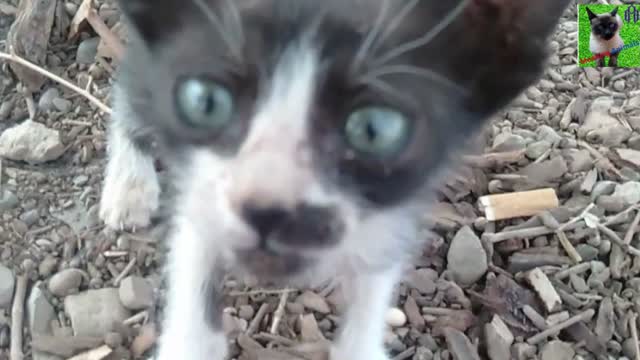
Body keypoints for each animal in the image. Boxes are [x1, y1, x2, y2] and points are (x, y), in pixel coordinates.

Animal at [99, 1, 568, 358]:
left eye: (374, 129)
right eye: (205, 102)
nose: (267, 209)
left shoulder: (400, 203)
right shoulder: (198, 194)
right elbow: (195, 256)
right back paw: (128, 187)